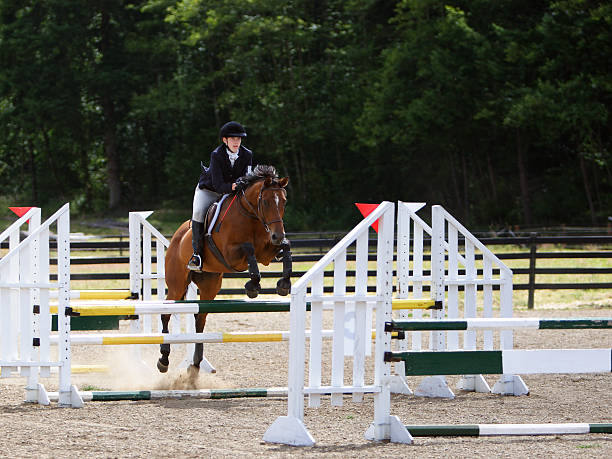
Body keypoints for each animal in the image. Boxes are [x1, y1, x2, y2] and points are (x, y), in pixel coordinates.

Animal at [158, 165, 292, 374]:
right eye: (266, 201)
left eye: (283, 201)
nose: (277, 235)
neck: (250, 215)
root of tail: (176, 237)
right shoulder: (231, 254)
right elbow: (248, 249)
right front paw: (253, 286)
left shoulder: (265, 255)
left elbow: (286, 247)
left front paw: (284, 284)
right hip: (176, 285)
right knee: (166, 314)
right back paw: (163, 360)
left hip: (210, 286)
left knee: (200, 319)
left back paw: (196, 361)